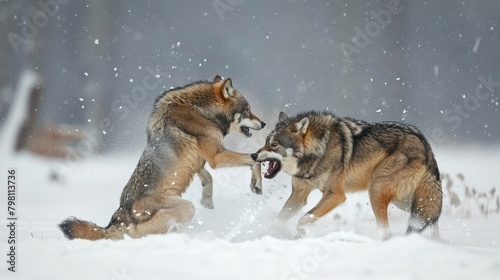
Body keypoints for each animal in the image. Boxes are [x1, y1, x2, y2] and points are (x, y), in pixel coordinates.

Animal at [59, 75, 266, 240]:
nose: (264, 123)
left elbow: (208, 177)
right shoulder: (217, 155)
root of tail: (119, 217)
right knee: (135, 232)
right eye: (247, 110)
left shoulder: (200, 160)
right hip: (185, 207)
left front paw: (207, 200)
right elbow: (253, 158)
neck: (202, 110)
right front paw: (257, 180)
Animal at [252, 111, 444, 238]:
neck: (320, 149)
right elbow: (279, 218)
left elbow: (304, 219)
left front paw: (298, 239)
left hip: (376, 190)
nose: (253, 155)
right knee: (431, 217)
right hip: (408, 202)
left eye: (275, 144)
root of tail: (425, 143)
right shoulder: (299, 195)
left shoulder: (335, 195)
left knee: (387, 231)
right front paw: (267, 231)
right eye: (266, 142)